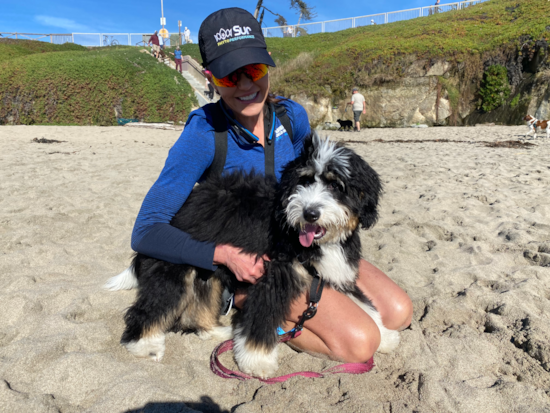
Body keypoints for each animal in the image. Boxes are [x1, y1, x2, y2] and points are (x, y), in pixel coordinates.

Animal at [106, 134, 402, 376]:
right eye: (304, 181)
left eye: (336, 185)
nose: (309, 213)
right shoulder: (271, 277)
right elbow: (261, 320)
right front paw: (257, 361)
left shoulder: (334, 273)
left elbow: (366, 306)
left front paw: (385, 335)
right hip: (174, 269)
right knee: (147, 310)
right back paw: (145, 346)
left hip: (208, 272)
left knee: (196, 310)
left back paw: (217, 330)